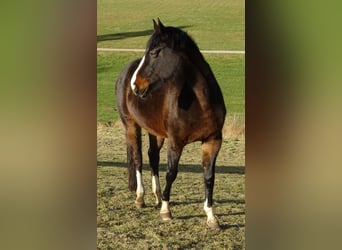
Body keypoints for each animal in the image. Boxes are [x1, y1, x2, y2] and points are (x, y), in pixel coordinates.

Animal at [116, 19, 226, 230]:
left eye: (154, 52)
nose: (135, 85)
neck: (201, 102)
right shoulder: (176, 142)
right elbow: (171, 173)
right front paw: (166, 211)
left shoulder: (213, 141)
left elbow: (209, 177)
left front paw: (211, 216)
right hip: (131, 125)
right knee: (138, 159)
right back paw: (141, 198)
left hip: (155, 131)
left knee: (152, 157)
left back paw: (157, 195)